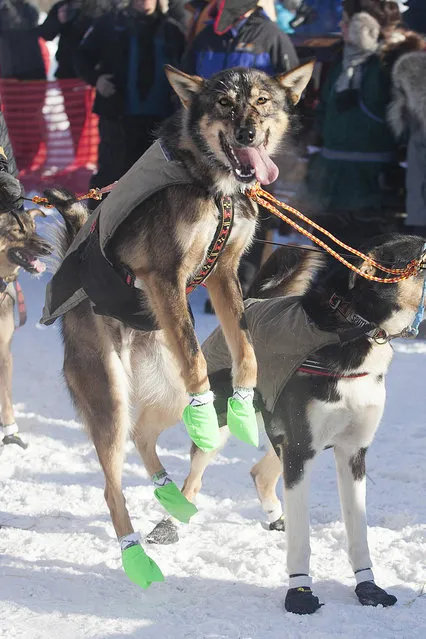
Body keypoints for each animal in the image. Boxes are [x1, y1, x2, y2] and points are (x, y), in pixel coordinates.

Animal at [149, 234, 422, 616]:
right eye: (423, 257)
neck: (355, 330)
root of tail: (253, 300)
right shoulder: (301, 450)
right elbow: (302, 539)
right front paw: (300, 592)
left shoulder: (351, 452)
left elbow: (358, 530)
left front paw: (368, 587)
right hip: (223, 429)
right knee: (192, 483)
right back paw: (168, 525)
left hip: (285, 440)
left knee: (260, 473)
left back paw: (276, 516)